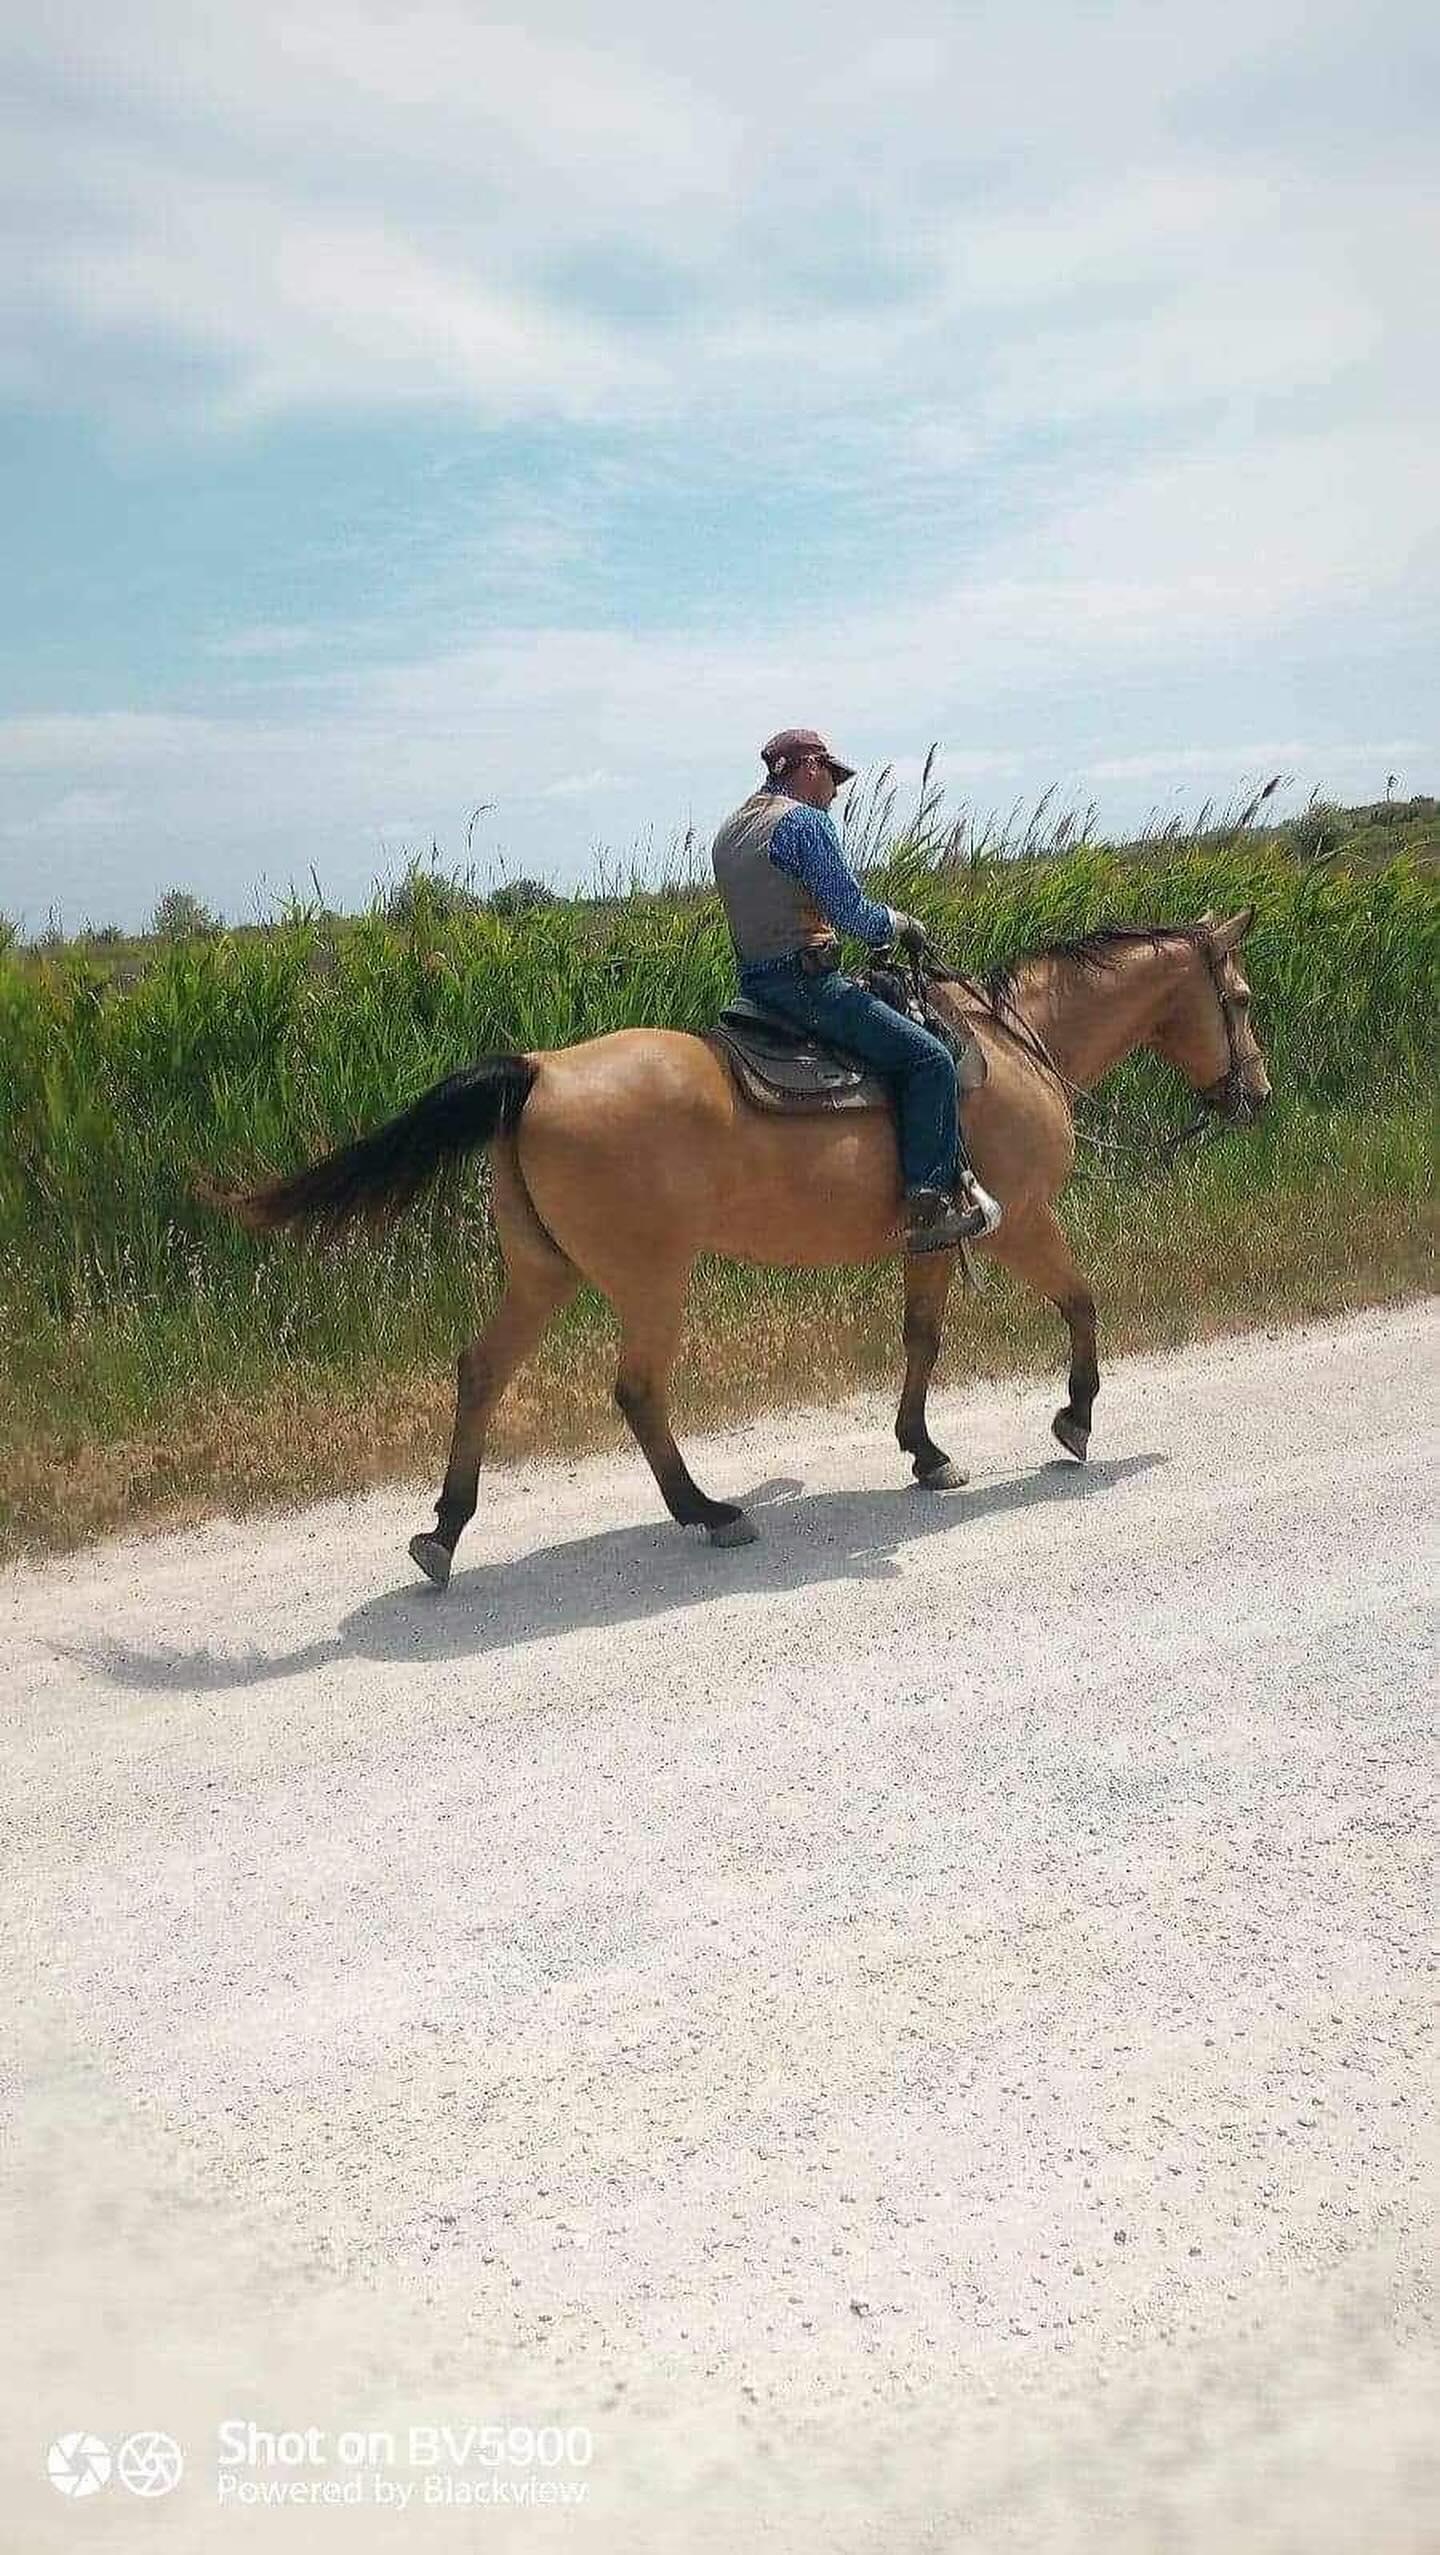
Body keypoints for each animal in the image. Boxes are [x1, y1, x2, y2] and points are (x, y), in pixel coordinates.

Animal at [218, 907, 1270, 1586]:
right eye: (1245, 995)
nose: (1255, 1095)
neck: (1012, 1044)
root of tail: (539, 1070)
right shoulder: (1024, 1223)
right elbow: (1083, 1302)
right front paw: (1075, 1419)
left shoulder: (935, 1238)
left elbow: (922, 1339)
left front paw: (925, 1452)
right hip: (650, 1279)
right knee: (637, 1391)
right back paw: (708, 1511)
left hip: (543, 1273)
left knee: (481, 1371)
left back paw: (444, 1531)